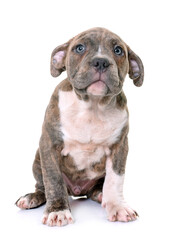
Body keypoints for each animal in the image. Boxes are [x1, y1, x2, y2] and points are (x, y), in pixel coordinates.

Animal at [16, 27, 144, 226]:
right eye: (79, 48)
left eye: (118, 51)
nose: (101, 61)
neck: (92, 106)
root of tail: (77, 191)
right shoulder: (49, 145)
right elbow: (53, 180)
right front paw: (58, 210)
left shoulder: (120, 147)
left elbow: (115, 179)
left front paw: (117, 206)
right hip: (37, 161)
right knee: (42, 186)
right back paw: (31, 198)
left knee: (98, 188)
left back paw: (101, 195)